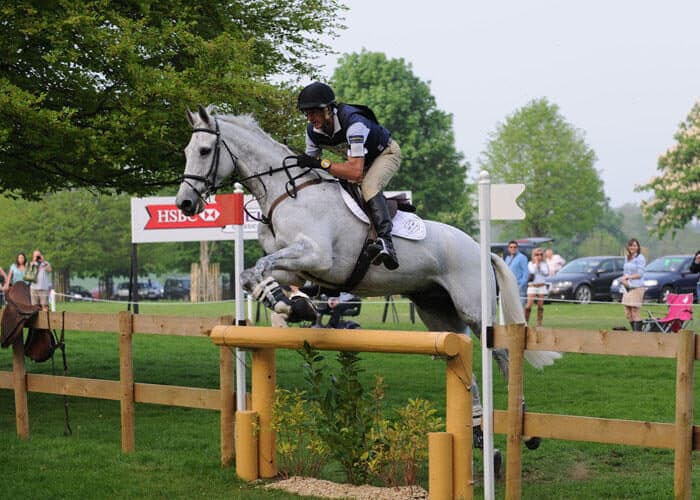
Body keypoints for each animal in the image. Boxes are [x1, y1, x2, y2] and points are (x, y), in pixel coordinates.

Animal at [175, 105, 559, 439]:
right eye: (187, 150)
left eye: (206, 150)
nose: (184, 204)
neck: (287, 193)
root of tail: (481, 250)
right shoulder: (294, 269)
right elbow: (252, 275)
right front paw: (292, 307)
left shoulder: (317, 256)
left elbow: (261, 267)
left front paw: (293, 307)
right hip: (437, 313)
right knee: (463, 361)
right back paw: (477, 431)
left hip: (474, 310)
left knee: (502, 355)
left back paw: (522, 428)